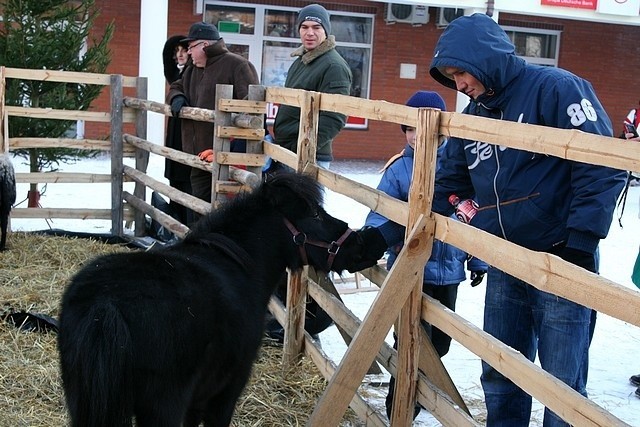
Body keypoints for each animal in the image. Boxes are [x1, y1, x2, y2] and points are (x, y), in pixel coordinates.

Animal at [57, 173, 382, 427]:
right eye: (314, 214)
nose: (370, 239)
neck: (238, 262)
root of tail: (105, 305)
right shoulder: (226, 391)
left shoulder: (197, 398)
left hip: (82, 401)